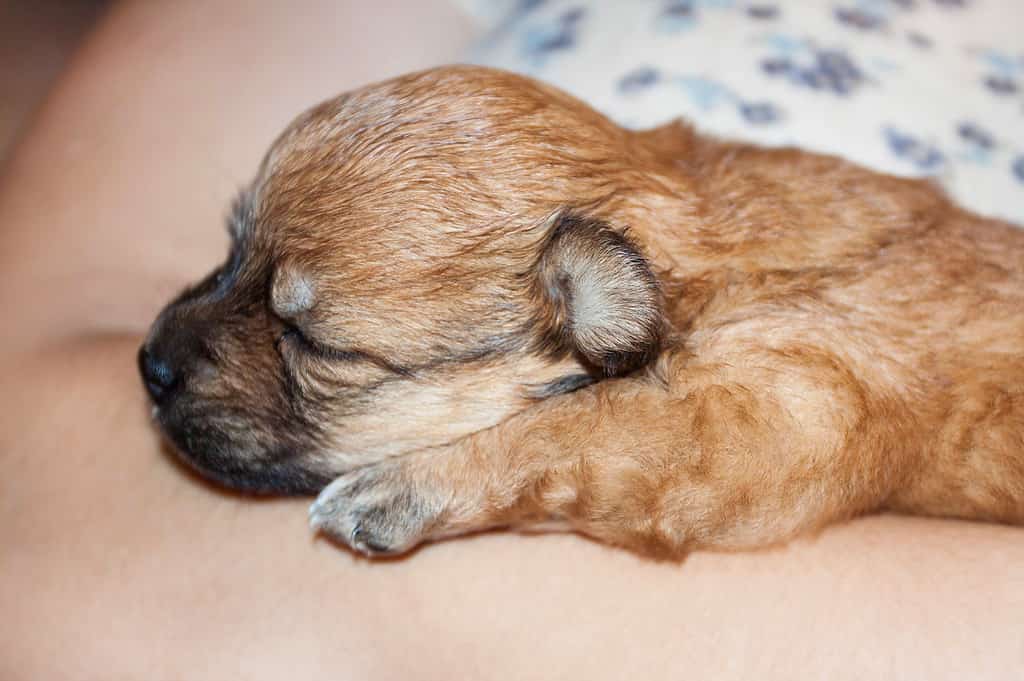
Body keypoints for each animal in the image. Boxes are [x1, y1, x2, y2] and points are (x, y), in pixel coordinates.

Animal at [138, 65, 1024, 557]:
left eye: (317, 346)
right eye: (230, 246)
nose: (149, 364)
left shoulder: (773, 412)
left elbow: (569, 428)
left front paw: (394, 486)